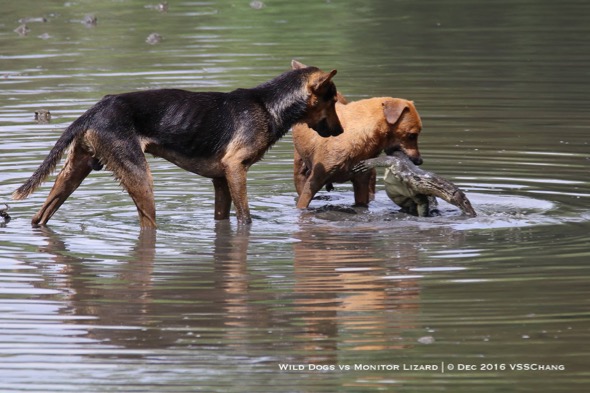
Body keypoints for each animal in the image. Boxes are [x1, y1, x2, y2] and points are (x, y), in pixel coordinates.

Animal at [11, 59, 344, 228]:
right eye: (333, 100)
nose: (341, 131)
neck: (269, 105)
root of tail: (94, 110)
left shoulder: (221, 180)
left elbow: (223, 217)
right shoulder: (236, 168)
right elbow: (246, 218)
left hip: (74, 171)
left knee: (40, 216)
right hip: (140, 178)